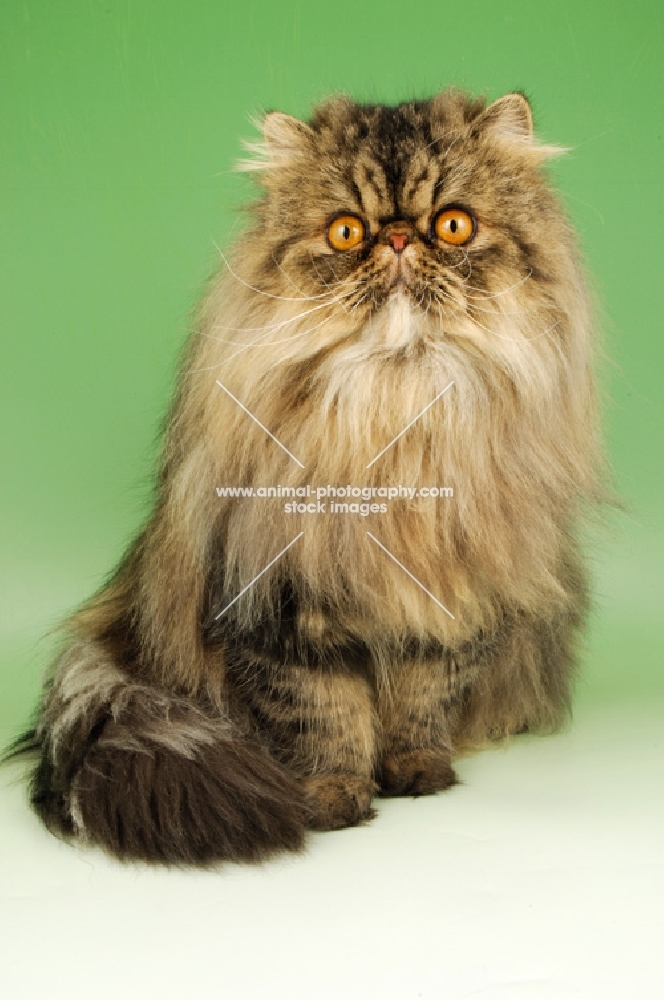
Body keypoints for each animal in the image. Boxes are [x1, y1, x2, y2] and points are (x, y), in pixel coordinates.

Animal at [10, 90, 604, 864]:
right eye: (348, 232)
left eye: (453, 224)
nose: (398, 240)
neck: (396, 416)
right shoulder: (279, 605)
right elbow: (324, 715)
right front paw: (332, 796)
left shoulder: (452, 599)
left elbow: (421, 700)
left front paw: (417, 771)